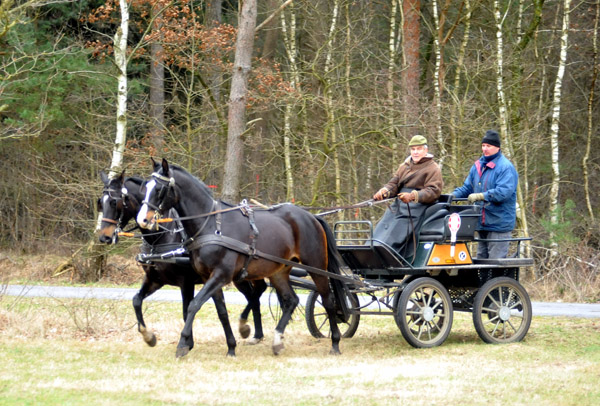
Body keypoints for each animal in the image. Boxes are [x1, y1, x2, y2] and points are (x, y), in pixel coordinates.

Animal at [98, 171, 268, 356]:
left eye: (114, 202)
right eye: (100, 202)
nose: (104, 237)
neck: (162, 236)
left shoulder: (186, 282)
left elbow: (186, 310)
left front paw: (186, 343)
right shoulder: (155, 280)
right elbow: (136, 300)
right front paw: (149, 337)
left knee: (256, 293)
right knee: (256, 294)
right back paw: (257, 334)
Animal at [137, 159, 342, 358]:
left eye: (159, 189)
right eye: (144, 188)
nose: (142, 220)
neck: (211, 226)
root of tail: (311, 216)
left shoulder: (219, 275)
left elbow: (193, 306)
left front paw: (182, 345)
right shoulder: (208, 277)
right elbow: (221, 312)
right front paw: (231, 347)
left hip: (316, 266)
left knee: (328, 300)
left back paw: (335, 342)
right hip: (278, 272)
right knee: (291, 300)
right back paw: (277, 341)